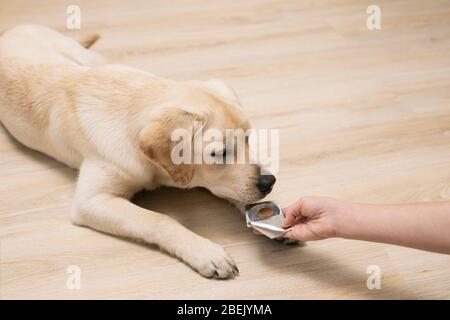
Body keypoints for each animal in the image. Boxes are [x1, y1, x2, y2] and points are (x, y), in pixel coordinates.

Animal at [0, 25, 274, 278]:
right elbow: (159, 219)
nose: (269, 182)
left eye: (248, 138)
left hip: (90, 58)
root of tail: (13, 29)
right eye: (220, 153)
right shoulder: (91, 201)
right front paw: (205, 251)